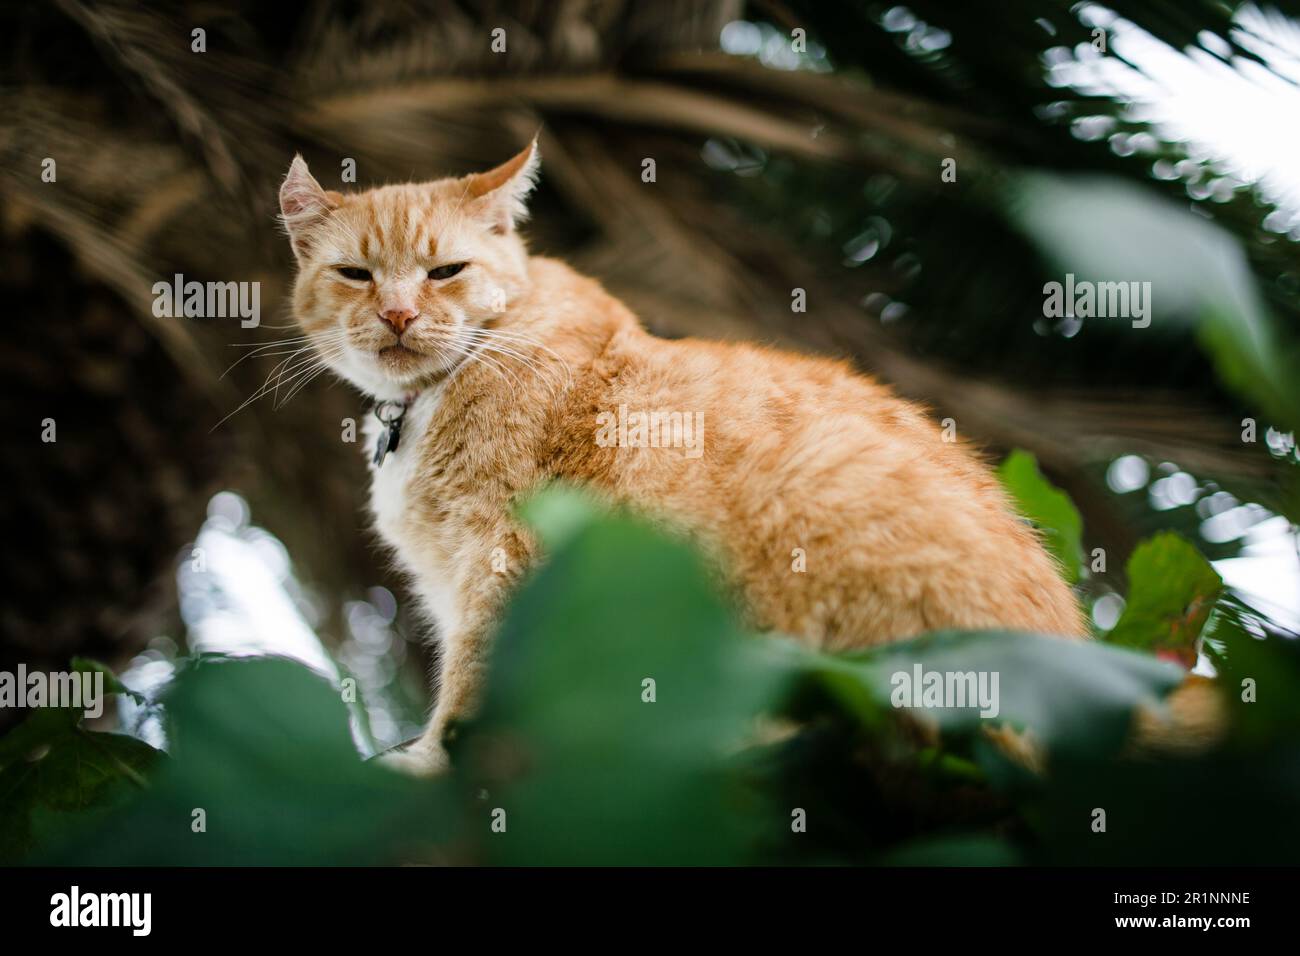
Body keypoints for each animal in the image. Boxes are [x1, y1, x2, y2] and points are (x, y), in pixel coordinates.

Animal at [279, 138, 1081, 775]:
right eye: (356, 275)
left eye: (445, 271)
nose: (398, 315)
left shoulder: (504, 557)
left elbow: (471, 689)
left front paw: (433, 766)